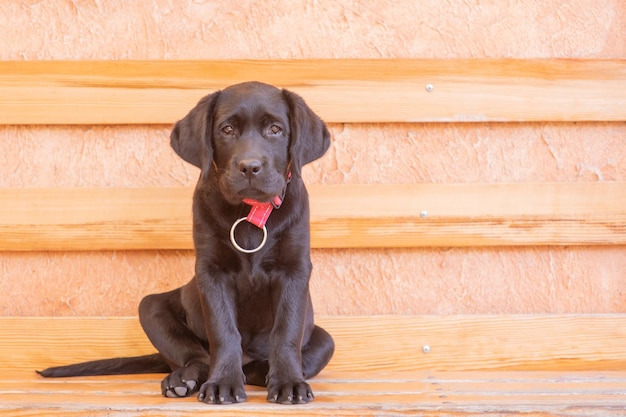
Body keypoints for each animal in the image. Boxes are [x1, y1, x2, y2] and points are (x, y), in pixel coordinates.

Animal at [38, 81, 334, 404]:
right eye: (227, 129)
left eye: (276, 129)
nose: (249, 167)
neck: (249, 212)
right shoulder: (211, 273)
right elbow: (223, 331)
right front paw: (223, 382)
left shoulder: (294, 270)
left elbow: (286, 331)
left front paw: (289, 383)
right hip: (150, 308)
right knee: (198, 358)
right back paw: (183, 380)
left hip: (324, 340)